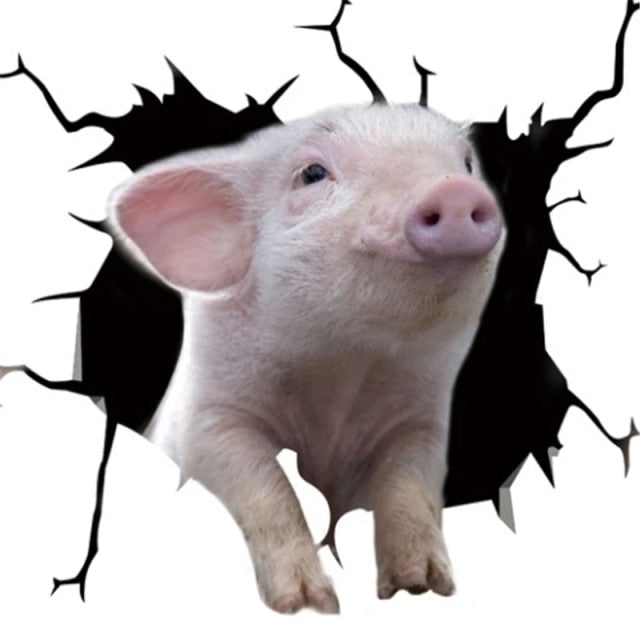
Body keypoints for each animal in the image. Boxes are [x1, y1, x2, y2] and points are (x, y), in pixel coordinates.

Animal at [107, 103, 505, 614]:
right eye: (312, 173)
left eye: (467, 165)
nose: (454, 188)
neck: (344, 376)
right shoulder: (206, 422)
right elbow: (268, 488)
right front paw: (309, 603)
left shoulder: (421, 426)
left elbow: (410, 489)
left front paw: (422, 585)